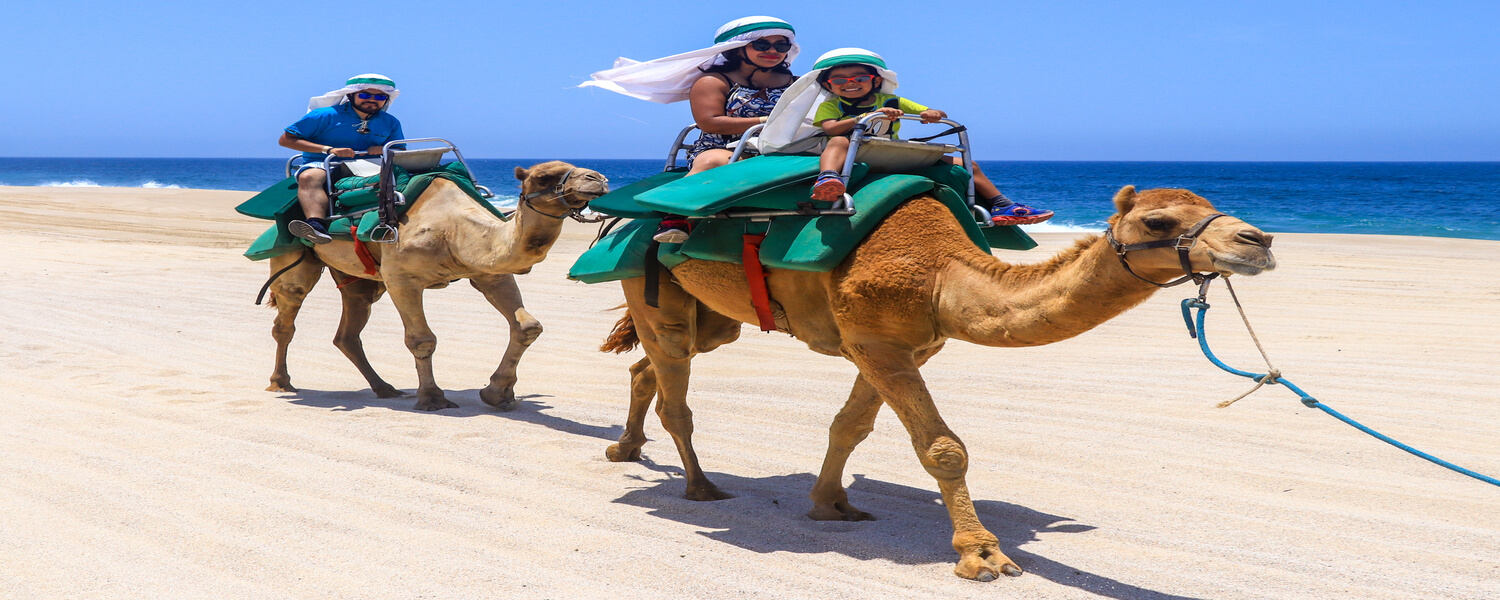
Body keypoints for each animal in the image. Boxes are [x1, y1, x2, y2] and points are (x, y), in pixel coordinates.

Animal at [265, 160, 609, 414]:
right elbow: (422, 340)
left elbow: (527, 326)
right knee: (287, 313)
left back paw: (385, 389)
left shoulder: (490, 274)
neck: (453, 228)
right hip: (293, 257)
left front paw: (497, 394)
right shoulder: (401, 279)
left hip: (358, 280)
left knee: (349, 329)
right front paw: (432, 398)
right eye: (543, 176)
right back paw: (281, 383)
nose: (598, 178)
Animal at [597, 186, 1278, 582]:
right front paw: (981, 555)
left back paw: (626, 448)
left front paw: (831, 504)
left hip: (716, 314)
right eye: (1158, 222)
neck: (943, 274)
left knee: (649, 366)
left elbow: (850, 426)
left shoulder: (900, 345)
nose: (1259, 239)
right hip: (648, 282)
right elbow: (944, 449)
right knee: (673, 378)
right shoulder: (876, 341)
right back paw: (699, 487)